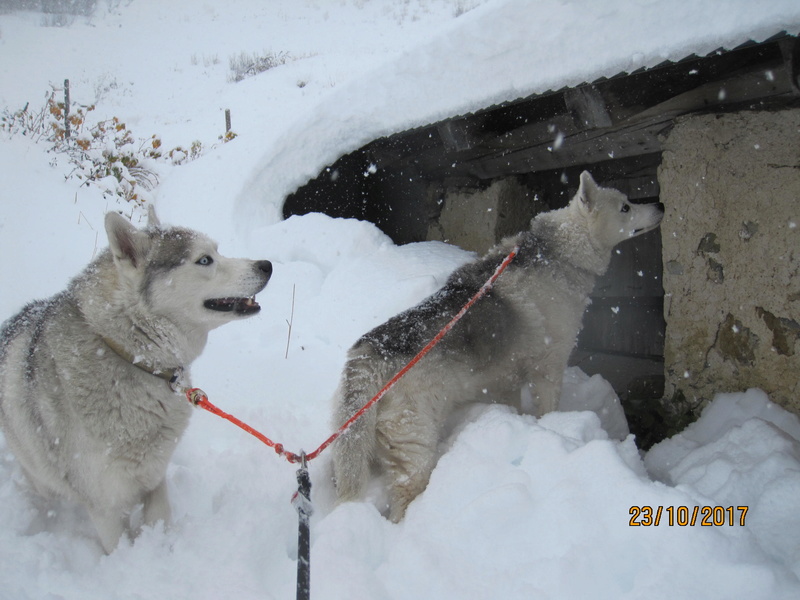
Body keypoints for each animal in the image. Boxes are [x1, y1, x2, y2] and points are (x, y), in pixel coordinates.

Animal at [0, 209, 272, 552]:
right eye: (204, 260)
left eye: (217, 251)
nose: (267, 265)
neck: (130, 356)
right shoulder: (104, 506)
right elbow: (117, 545)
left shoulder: (154, 479)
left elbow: (159, 522)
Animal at [332, 170, 664, 520]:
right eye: (626, 206)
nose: (660, 204)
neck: (559, 254)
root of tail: (371, 351)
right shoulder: (548, 367)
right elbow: (548, 410)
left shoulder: (505, 382)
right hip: (416, 446)